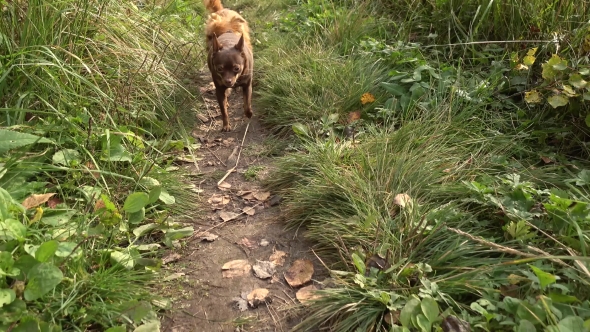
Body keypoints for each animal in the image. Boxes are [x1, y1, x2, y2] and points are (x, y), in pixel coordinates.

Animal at [205, 0, 253, 132]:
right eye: (219, 69)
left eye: (237, 68)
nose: (228, 81)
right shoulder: (219, 89)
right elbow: (223, 111)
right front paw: (226, 125)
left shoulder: (247, 85)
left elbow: (247, 102)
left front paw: (248, 113)